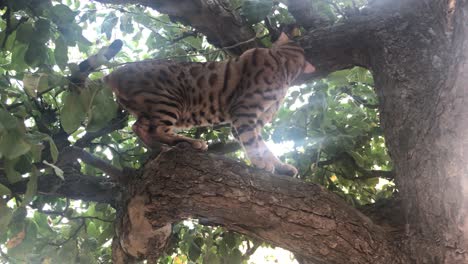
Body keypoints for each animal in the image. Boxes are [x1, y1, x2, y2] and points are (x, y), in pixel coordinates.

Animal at [102, 33, 314, 177]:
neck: (282, 60)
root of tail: (113, 74)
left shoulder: (252, 122)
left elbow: (265, 148)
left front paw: (281, 167)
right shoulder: (243, 114)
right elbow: (253, 143)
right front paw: (260, 163)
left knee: (140, 128)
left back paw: (165, 146)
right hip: (170, 101)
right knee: (153, 129)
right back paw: (190, 142)